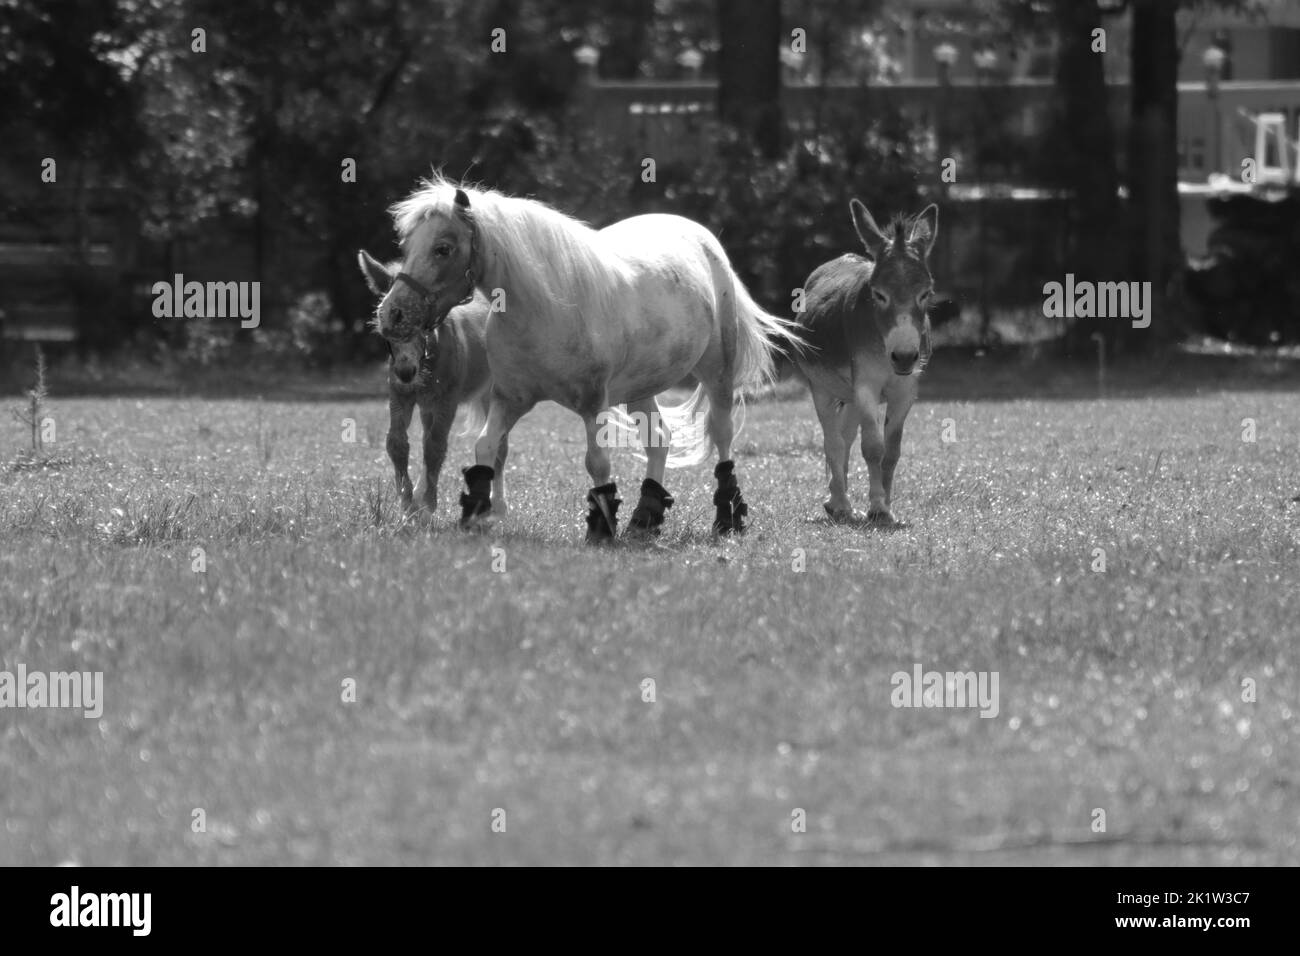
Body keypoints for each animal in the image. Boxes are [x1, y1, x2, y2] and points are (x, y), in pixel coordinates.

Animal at [377, 175, 800, 541]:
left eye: (443, 248)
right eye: (407, 246)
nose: (390, 314)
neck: (542, 308)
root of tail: (704, 238)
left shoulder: (592, 404)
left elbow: (597, 462)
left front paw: (601, 527)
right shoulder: (509, 399)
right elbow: (486, 446)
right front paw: (478, 513)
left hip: (717, 373)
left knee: (722, 434)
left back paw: (727, 518)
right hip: (642, 388)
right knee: (658, 440)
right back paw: (645, 519)